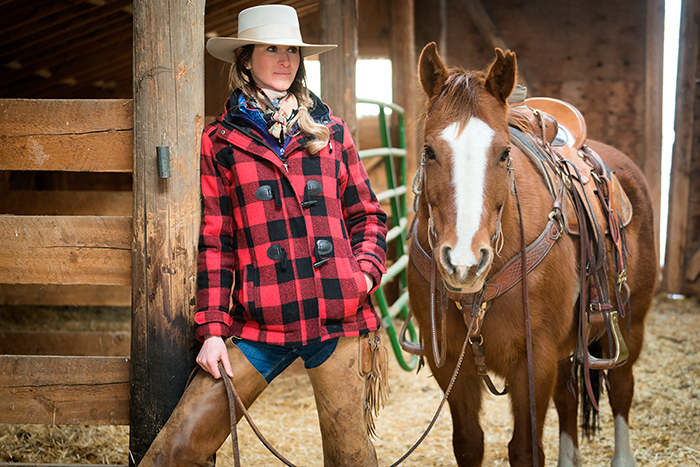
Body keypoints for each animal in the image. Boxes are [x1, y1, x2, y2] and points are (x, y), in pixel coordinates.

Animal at [408, 42, 660, 466]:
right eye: (429, 152)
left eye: (504, 154)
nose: (463, 263)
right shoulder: (453, 367)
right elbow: (469, 443)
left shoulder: (534, 362)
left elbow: (526, 449)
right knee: (568, 398)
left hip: (630, 323)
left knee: (622, 386)